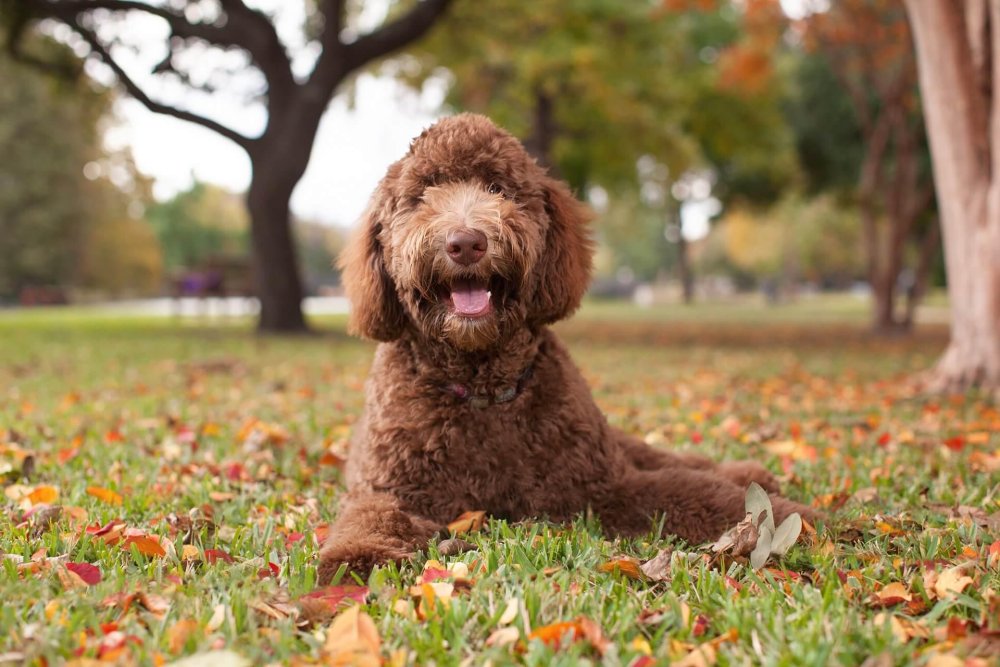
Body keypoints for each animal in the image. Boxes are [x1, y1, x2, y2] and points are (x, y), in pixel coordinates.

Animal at [316, 112, 816, 580]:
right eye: (423, 195)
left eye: (498, 188)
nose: (466, 242)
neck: (480, 392)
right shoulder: (392, 488)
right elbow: (371, 516)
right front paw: (356, 557)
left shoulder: (601, 484)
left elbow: (694, 491)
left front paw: (794, 518)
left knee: (670, 459)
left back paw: (748, 474)